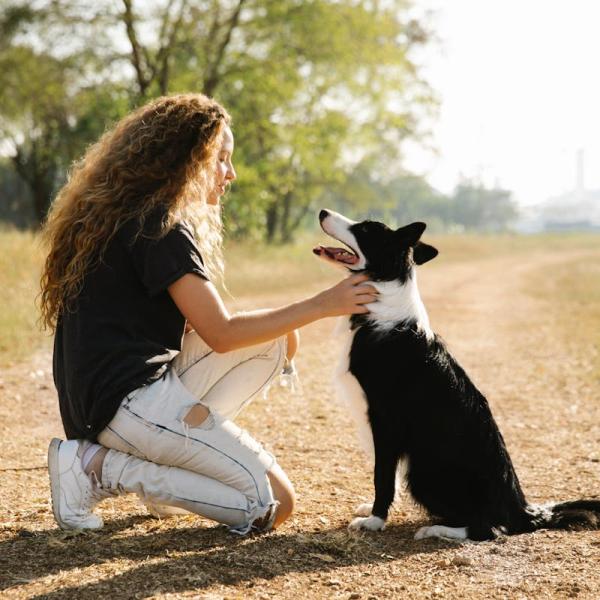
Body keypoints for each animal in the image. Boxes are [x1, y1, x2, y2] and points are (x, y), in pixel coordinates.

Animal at [314, 209, 600, 540]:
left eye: (364, 229)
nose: (322, 212)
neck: (383, 295)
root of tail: (521, 509)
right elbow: (386, 475)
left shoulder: (384, 419)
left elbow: (382, 476)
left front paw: (375, 520)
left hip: (424, 471)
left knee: (487, 529)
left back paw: (436, 529)